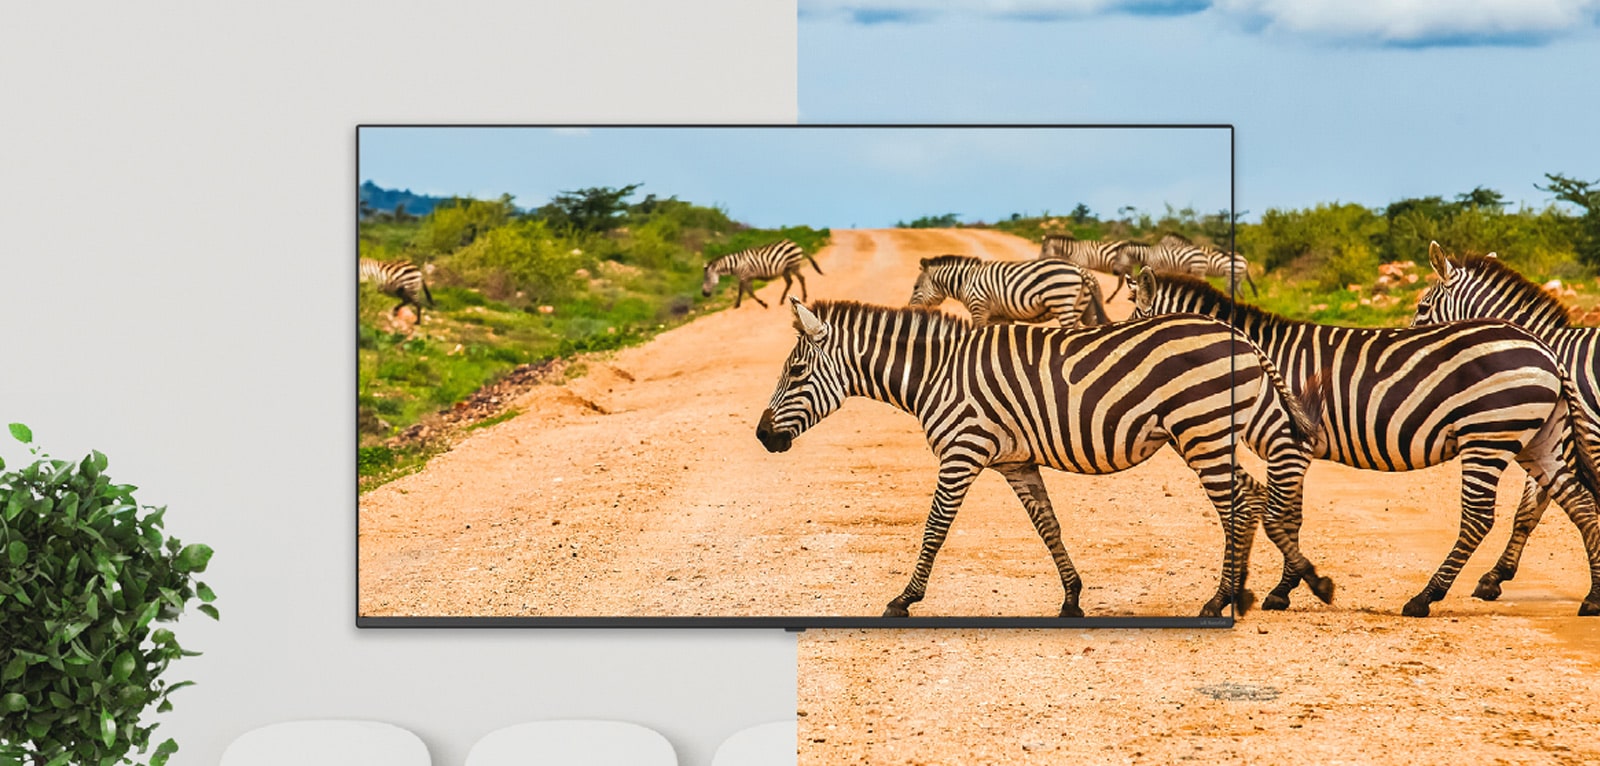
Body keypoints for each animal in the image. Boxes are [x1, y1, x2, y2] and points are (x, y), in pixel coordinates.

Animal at [756, 297, 1324, 618]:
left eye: (798, 372)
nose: (762, 436)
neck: (937, 374)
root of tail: (1240, 335)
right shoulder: (1016, 461)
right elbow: (1047, 525)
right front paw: (1072, 598)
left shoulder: (961, 451)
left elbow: (934, 528)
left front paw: (903, 600)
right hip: (1211, 431)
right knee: (1253, 496)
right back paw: (1264, 588)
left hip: (1200, 429)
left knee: (1239, 504)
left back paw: (1226, 598)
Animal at [908, 254, 1110, 329]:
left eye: (915, 287)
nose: (910, 308)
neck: (964, 281)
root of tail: (1079, 269)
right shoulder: (1000, 315)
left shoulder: (979, 308)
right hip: (1084, 307)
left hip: (1061, 301)